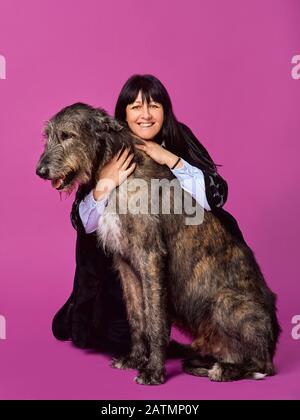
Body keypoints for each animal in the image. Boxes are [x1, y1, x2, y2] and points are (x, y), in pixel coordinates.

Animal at [36, 103, 280, 386]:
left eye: (67, 136)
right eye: (48, 136)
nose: (39, 171)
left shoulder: (150, 255)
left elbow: (154, 319)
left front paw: (153, 370)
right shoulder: (125, 262)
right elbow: (137, 316)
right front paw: (134, 358)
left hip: (226, 302)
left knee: (262, 365)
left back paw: (223, 370)